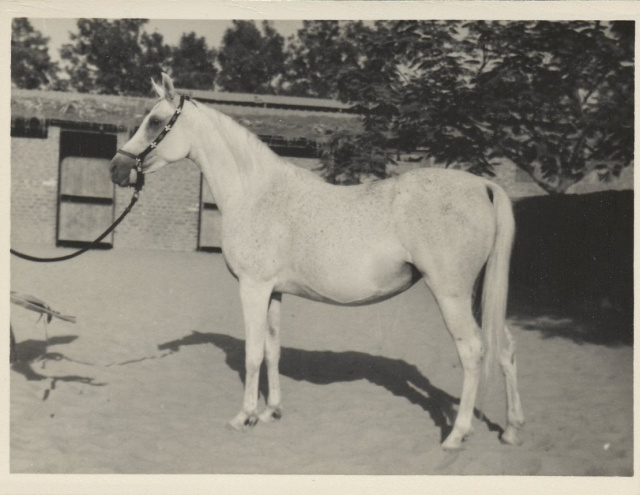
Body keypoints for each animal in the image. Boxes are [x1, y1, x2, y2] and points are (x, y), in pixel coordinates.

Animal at [110, 75, 524, 452]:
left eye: (155, 121)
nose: (116, 169)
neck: (255, 191)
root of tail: (484, 186)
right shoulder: (274, 291)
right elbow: (273, 350)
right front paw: (271, 411)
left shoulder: (253, 287)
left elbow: (253, 353)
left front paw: (244, 416)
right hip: (475, 293)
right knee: (504, 347)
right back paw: (510, 429)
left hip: (451, 293)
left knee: (473, 350)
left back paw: (457, 435)